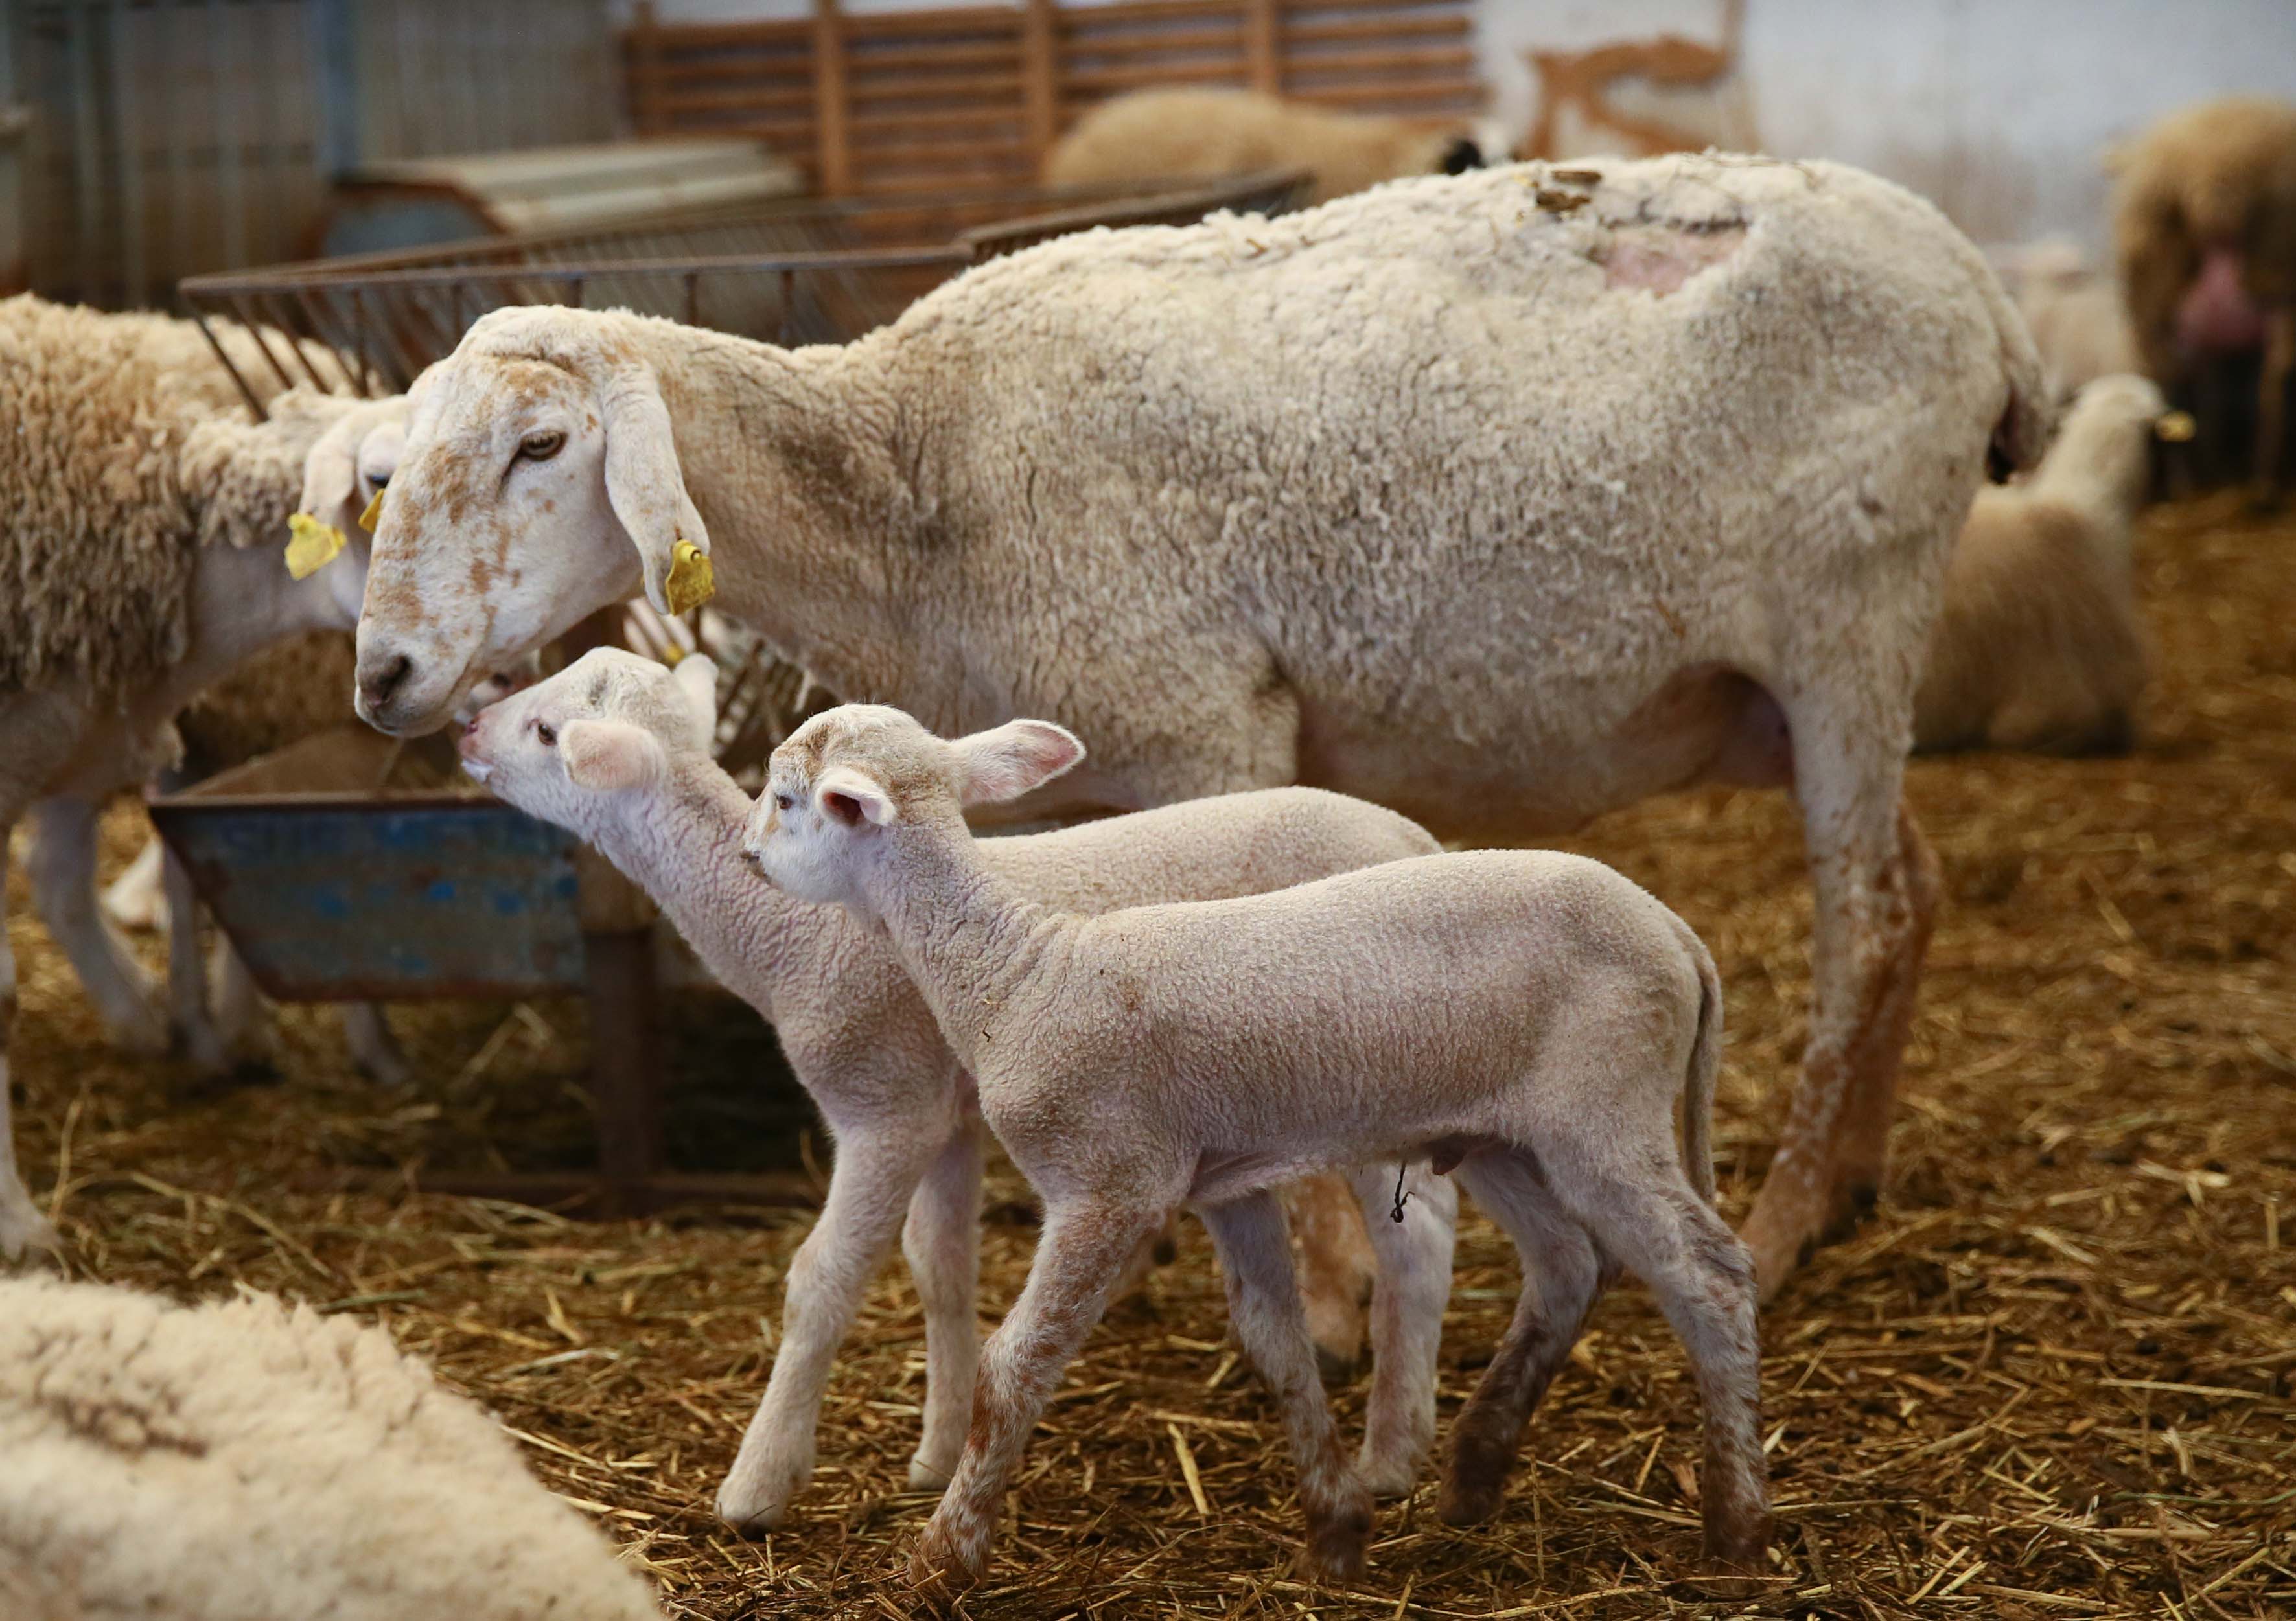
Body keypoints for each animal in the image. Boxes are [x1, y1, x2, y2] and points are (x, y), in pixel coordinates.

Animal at [351, 153, 2050, 1297]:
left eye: (542, 446)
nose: (381, 674)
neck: (909, 479)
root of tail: (1978, 287)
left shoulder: (1206, 727)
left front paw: (1339, 1295)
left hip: (1848, 619)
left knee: (1866, 910)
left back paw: (1782, 1219)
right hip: (1809, 688)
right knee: (1914, 892)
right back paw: (1851, 1180)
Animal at [454, 645, 1458, 1533]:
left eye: (546, 730)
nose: (465, 726)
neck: (789, 936)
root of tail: (1415, 834)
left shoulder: (882, 1103)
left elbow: (821, 1278)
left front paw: (758, 1483)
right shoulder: (948, 1117)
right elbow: (941, 1269)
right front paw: (937, 1451)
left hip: (1370, 1069)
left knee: (1416, 1240)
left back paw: (1391, 1452)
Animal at [742, 703, 1760, 1602]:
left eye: (787, 799)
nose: (749, 856)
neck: (1017, 971)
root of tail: (1677, 931)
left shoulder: (1108, 1184)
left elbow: (1012, 1366)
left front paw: (939, 1561)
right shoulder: (1224, 1183)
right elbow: (1277, 1346)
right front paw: (1336, 1534)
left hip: (1606, 1111)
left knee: (1708, 1273)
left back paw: (1737, 1529)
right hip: (1508, 1132)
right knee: (1567, 1260)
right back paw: (1474, 1474)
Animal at [2111, 95, 2296, 501]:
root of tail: (2213, 172)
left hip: (2157, 283)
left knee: (2173, 378)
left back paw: (2193, 483)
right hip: (2279, 271)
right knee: (2275, 375)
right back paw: (2260, 485)